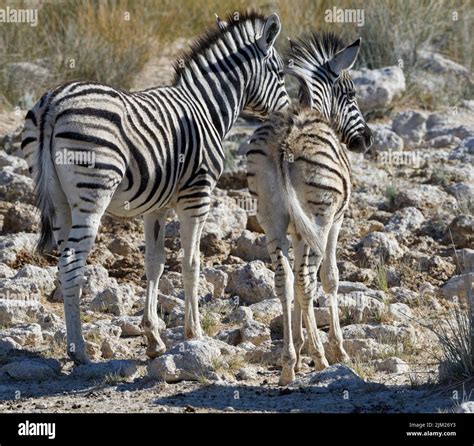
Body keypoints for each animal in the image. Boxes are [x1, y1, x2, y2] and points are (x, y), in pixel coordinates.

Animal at [20, 11, 288, 366]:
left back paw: (75, 346)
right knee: (71, 264)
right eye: (281, 73)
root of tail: (52, 102)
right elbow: (191, 263)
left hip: (61, 201)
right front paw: (194, 333)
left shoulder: (156, 207)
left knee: (65, 264)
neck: (207, 108)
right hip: (92, 194)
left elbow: (155, 264)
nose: (288, 120)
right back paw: (80, 351)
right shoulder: (197, 196)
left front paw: (153, 338)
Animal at [244, 33, 374, 386]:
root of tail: (288, 136)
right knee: (305, 281)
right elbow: (329, 279)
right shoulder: (334, 222)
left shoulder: (295, 230)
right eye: (351, 93)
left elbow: (296, 282)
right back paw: (320, 358)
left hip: (270, 220)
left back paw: (289, 364)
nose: (368, 140)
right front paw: (336, 349)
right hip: (319, 217)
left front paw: (300, 346)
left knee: (284, 281)